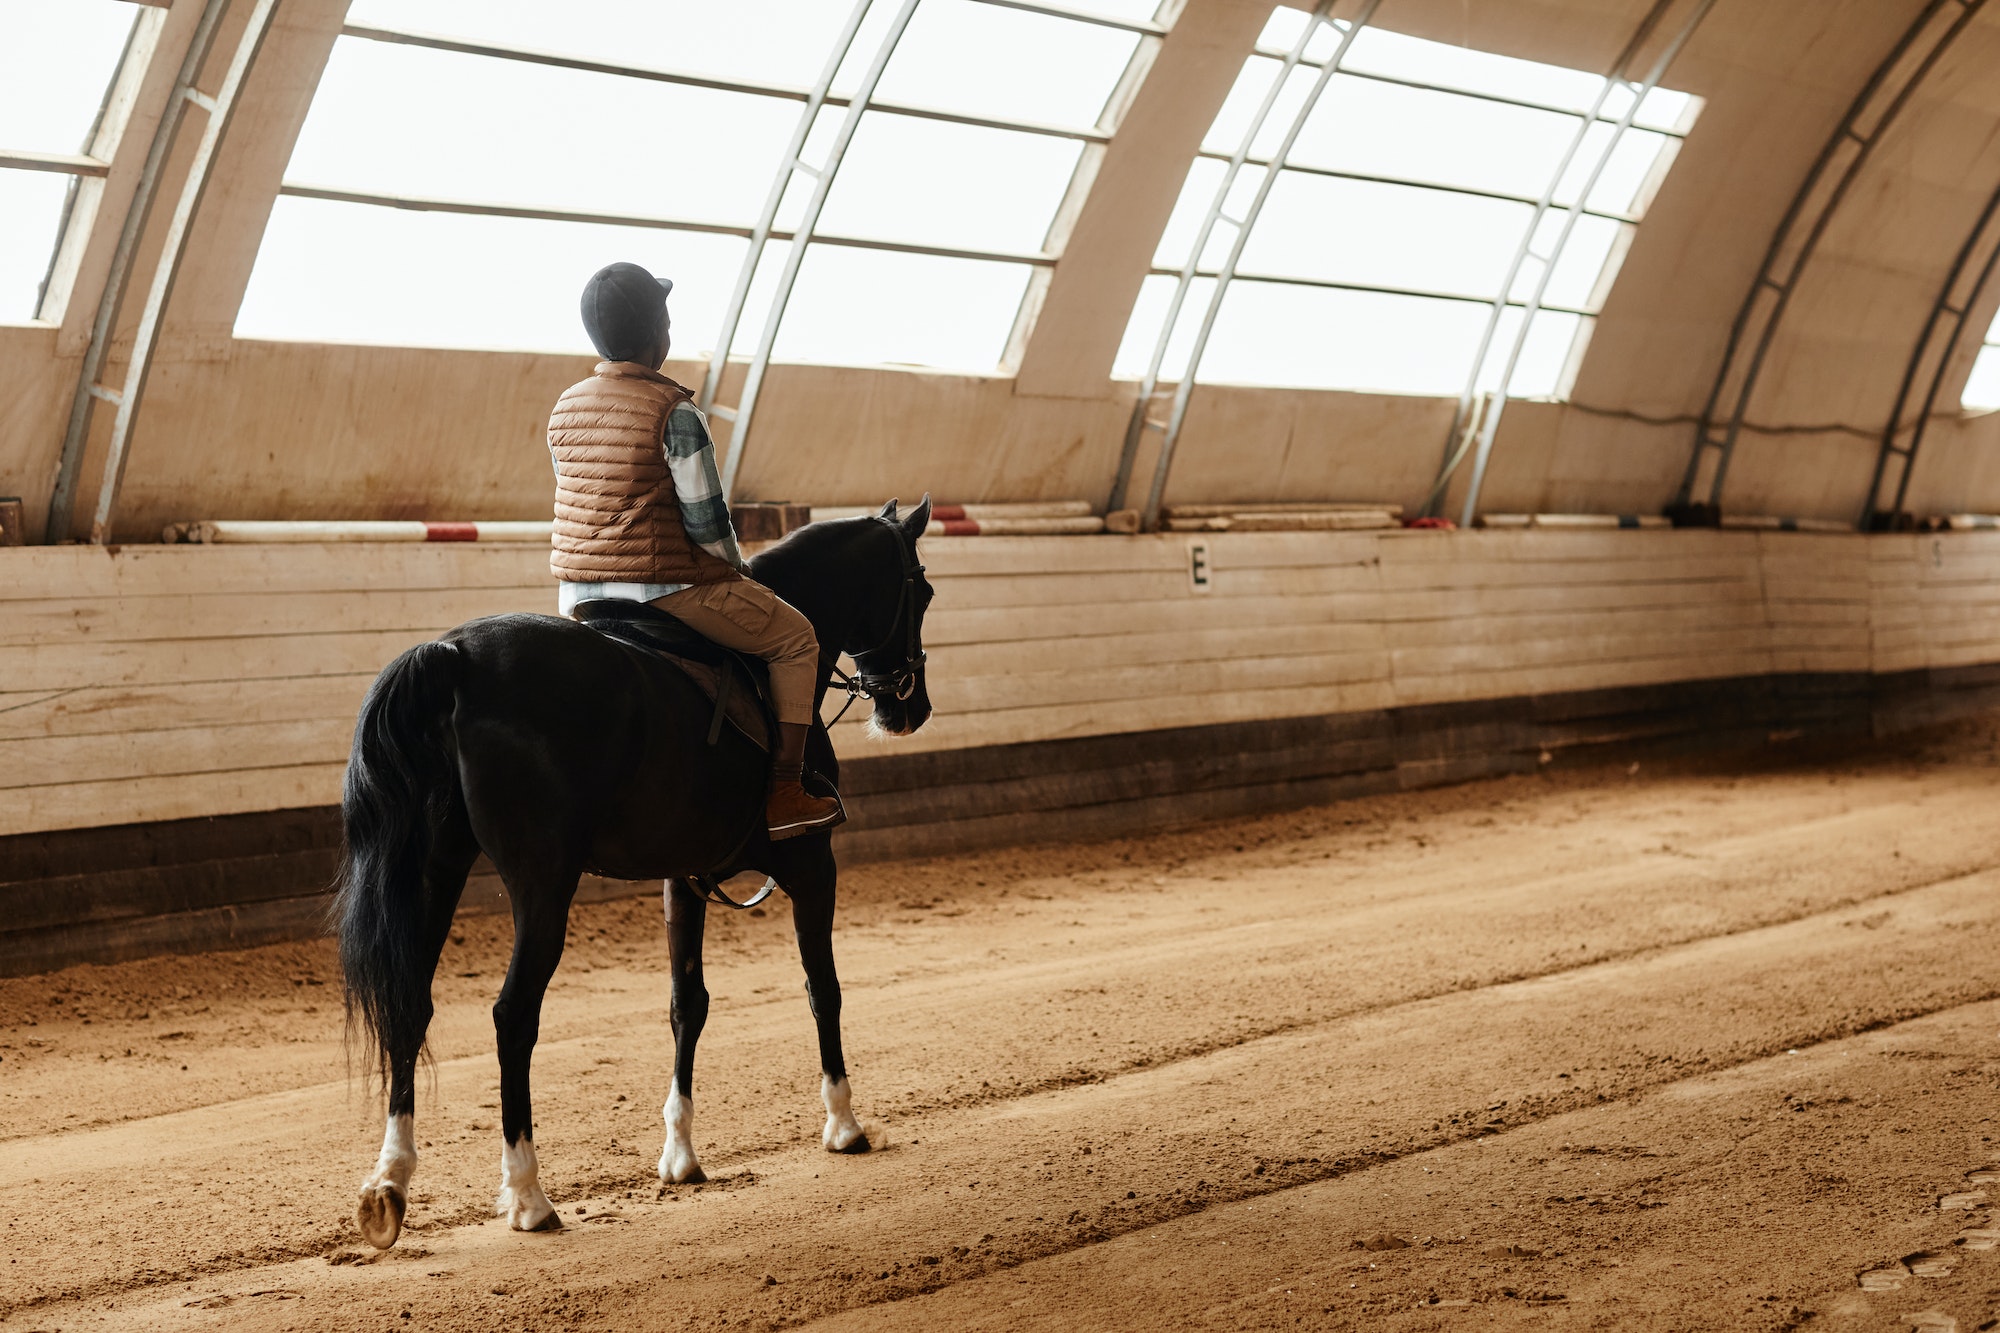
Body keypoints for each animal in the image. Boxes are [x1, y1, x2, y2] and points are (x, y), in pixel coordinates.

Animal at [334, 492, 936, 1240]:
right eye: (923, 591)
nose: (911, 707)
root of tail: (455, 656)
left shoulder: (684, 880)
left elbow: (687, 1003)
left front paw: (680, 1153)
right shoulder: (812, 866)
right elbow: (822, 988)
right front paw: (845, 1124)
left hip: (435, 870)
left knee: (411, 1003)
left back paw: (390, 1180)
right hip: (542, 884)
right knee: (513, 1015)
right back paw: (527, 1193)